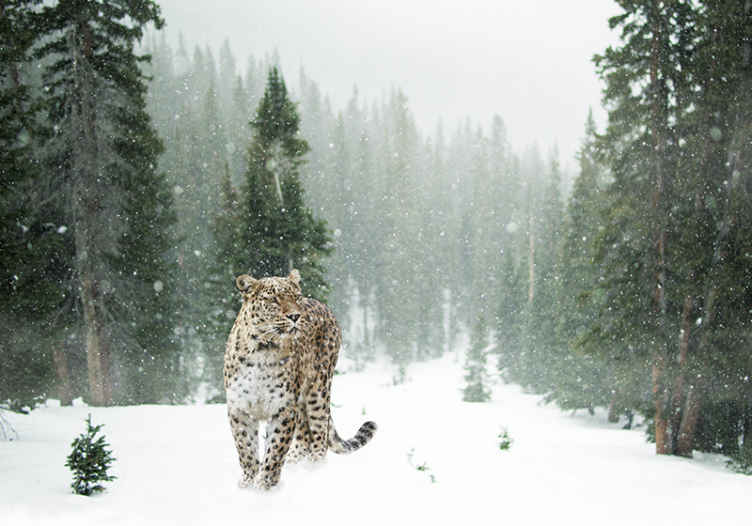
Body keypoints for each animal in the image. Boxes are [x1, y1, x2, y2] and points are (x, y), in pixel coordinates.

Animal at [223, 269, 377, 490]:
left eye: (295, 297)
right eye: (274, 299)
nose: (295, 316)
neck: (263, 350)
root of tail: (323, 305)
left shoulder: (283, 408)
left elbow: (275, 450)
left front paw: (265, 485)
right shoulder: (240, 408)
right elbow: (246, 448)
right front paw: (248, 482)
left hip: (318, 391)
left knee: (320, 435)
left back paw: (314, 469)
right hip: (302, 400)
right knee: (305, 436)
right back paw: (295, 462)